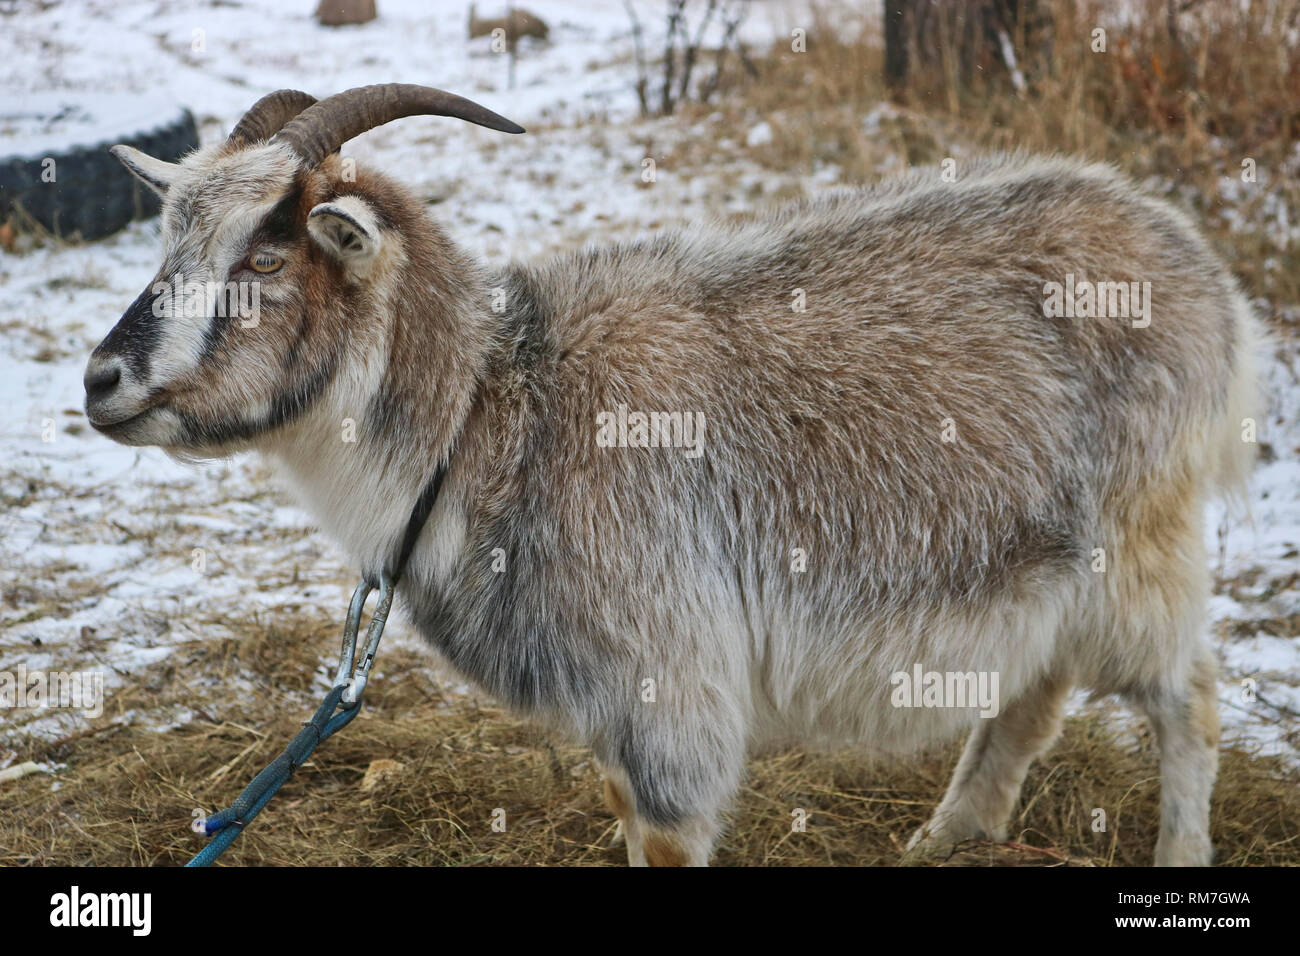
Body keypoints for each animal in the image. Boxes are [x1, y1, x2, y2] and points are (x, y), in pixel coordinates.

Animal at [86, 84, 1261, 866]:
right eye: (168, 241)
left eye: (264, 257)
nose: (101, 380)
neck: (498, 414)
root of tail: (1198, 268)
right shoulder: (616, 706)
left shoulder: (668, 690)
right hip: (1043, 547)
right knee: (1037, 683)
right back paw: (946, 834)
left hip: (1140, 536)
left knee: (1187, 697)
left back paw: (1175, 854)